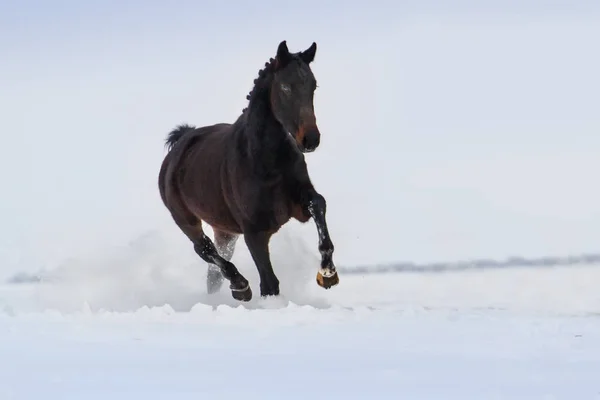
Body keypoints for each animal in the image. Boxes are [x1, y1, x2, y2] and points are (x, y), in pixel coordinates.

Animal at [158, 41, 338, 304]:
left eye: (313, 86)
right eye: (285, 86)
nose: (310, 140)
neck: (264, 160)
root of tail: (180, 143)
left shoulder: (298, 204)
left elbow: (319, 203)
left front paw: (327, 272)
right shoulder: (254, 231)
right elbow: (269, 284)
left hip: (225, 231)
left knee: (214, 269)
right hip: (187, 221)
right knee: (204, 249)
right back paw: (240, 286)